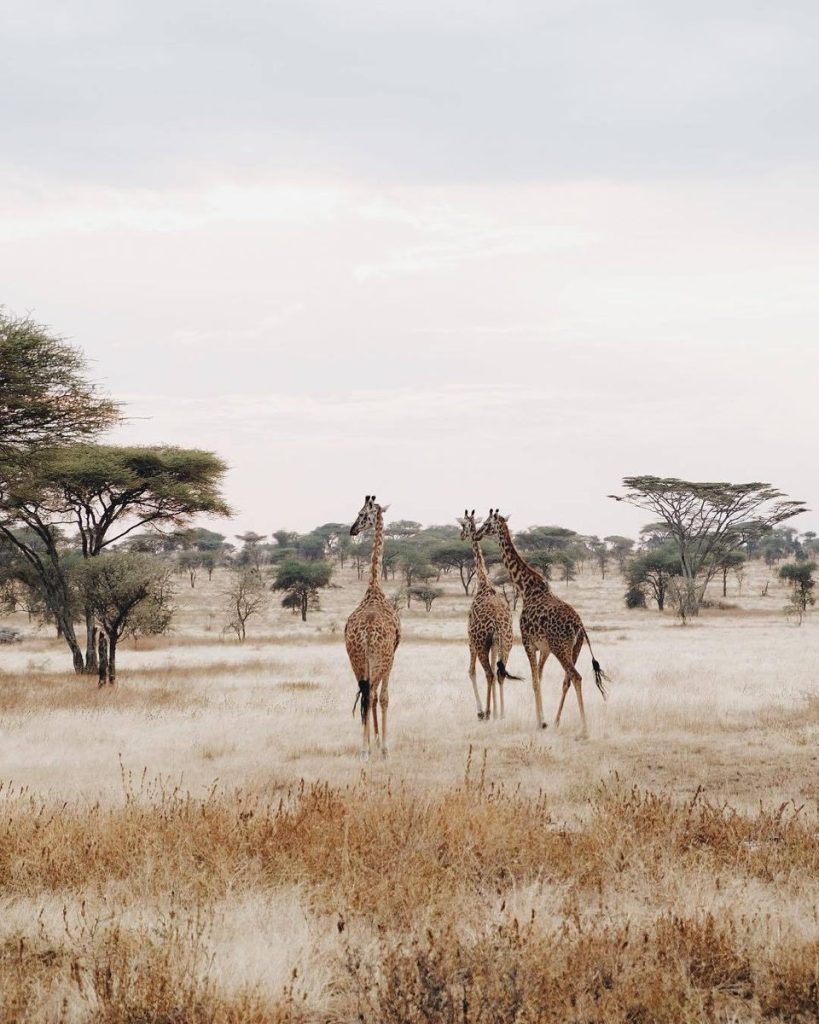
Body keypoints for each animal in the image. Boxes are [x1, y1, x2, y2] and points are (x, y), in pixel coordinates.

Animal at [457, 509, 520, 720]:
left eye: (463, 525)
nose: (461, 536)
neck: (484, 584)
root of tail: (498, 623)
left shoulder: (471, 639)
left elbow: (471, 672)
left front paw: (483, 711)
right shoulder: (495, 643)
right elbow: (495, 668)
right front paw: (496, 710)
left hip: (481, 643)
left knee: (488, 673)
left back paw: (485, 712)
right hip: (507, 642)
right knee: (499, 673)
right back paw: (501, 713)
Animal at [475, 509, 607, 736]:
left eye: (486, 523)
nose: (476, 534)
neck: (526, 588)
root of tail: (579, 626)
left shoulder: (528, 642)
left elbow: (535, 681)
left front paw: (540, 723)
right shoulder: (544, 648)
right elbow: (541, 678)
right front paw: (544, 721)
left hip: (560, 647)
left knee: (576, 677)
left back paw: (583, 730)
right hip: (575, 648)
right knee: (567, 679)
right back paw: (557, 721)